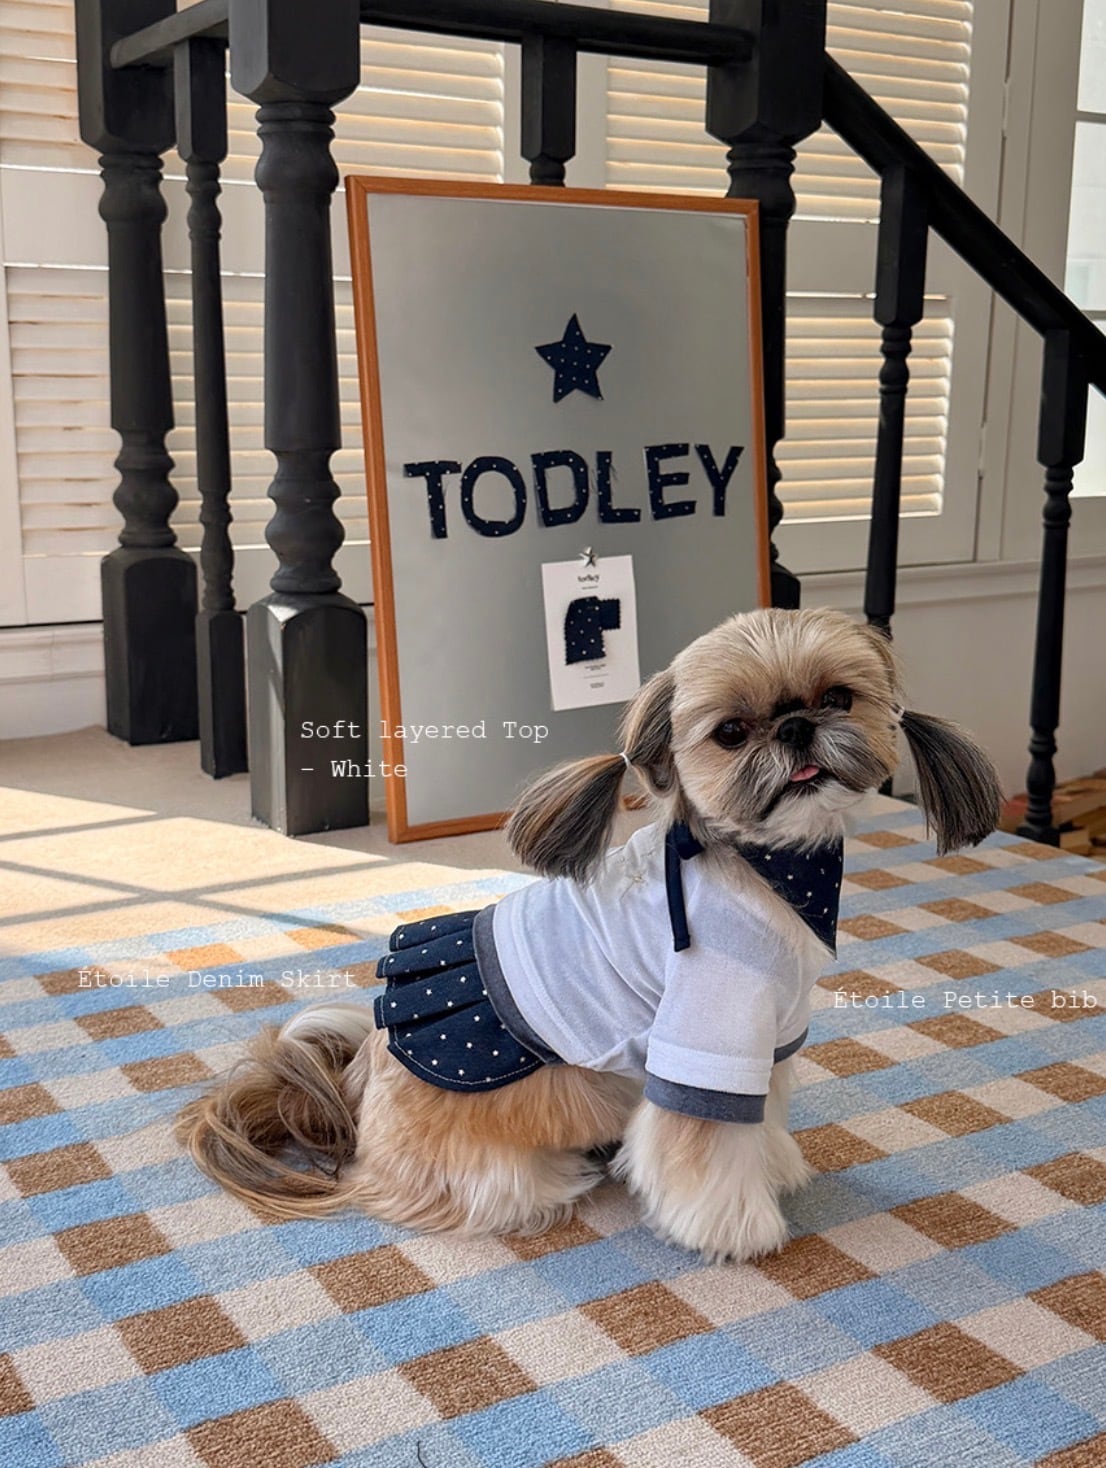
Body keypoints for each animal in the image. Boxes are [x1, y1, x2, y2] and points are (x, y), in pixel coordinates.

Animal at [180, 608, 1001, 1261]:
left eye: (838, 697)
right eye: (732, 733)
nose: (798, 725)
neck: (766, 867)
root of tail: (355, 1106)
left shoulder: (766, 1034)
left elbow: (758, 1121)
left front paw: (775, 1169)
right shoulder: (709, 1032)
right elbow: (709, 1151)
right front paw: (737, 1230)